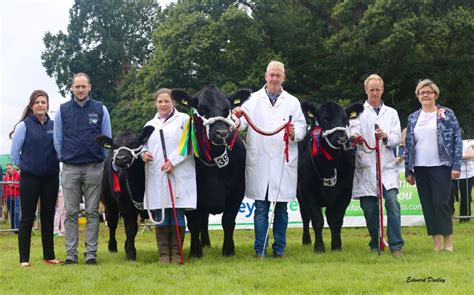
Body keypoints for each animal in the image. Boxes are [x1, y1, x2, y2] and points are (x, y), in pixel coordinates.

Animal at [96, 126, 155, 262]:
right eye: (115, 145)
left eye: (134, 144)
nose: (121, 159)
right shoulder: (126, 206)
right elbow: (131, 229)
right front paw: (131, 254)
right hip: (109, 204)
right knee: (112, 224)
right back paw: (112, 247)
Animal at [171, 85, 252, 260]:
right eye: (202, 109)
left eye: (227, 108)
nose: (221, 133)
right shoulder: (192, 195)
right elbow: (194, 223)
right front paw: (195, 252)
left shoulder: (237, 191)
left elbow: (228, 221)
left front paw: (228, 250)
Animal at [296, 102, 362, 254]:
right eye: (325, 118)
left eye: (345, 119)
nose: (342, 139)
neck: (328, 166)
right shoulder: (308, 193)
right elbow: (317, 220)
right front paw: (319, 248)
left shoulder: (345, 193)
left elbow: (335, 220)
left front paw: (336, 246)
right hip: (299, 195)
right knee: (305, 217)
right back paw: (306, 240)